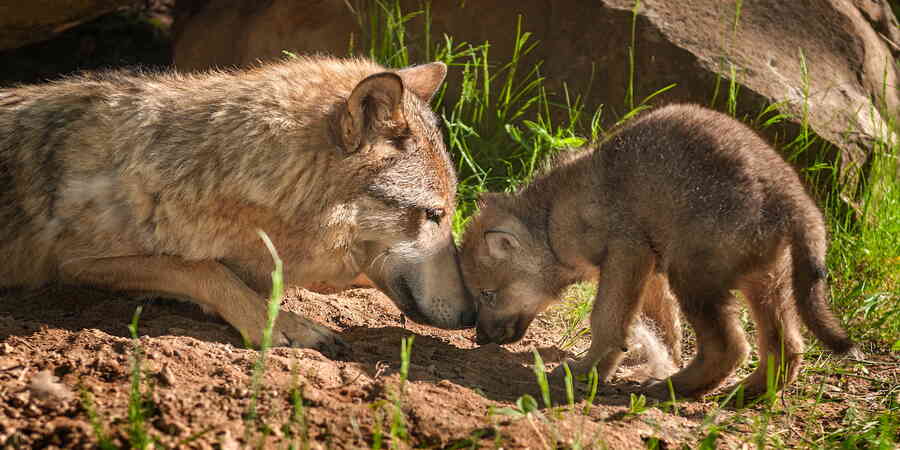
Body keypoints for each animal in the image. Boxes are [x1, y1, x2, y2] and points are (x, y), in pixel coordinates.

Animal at [0, 56, 477, 355]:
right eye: (433, 214)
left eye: (449, 214)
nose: (472, 314)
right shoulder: (76, 263)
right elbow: (202, 268)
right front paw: (284, 325)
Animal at [460, 104, 860, 398]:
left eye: (487, 293)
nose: (479, 338)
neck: (552, 216)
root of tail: (792, 200)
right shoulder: (650, 267)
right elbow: (664, 326)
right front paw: (655, 359)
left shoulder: (627, 254)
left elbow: (607, 322)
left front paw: (588, 372)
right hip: (765, 283)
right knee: (786, 348)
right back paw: (743, 394)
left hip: (694, 279)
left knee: (730, 348)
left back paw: (672, 387)